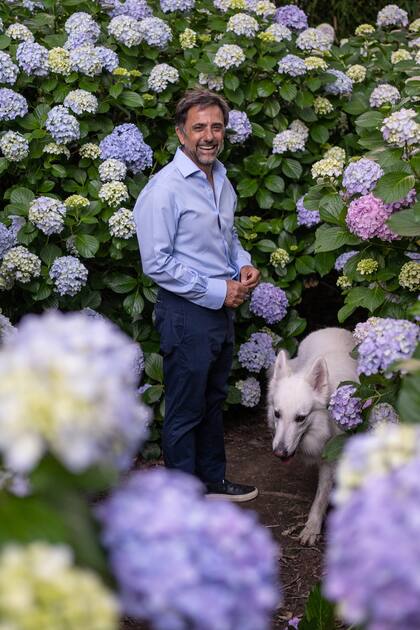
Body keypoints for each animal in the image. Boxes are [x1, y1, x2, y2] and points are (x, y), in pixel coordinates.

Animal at [268, 328, 356, 544]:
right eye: (277, 414)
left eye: (300, 418)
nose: (279, 453)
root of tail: (332, 328)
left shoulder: (331, 459)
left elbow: (322, 495)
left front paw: (312, 527)